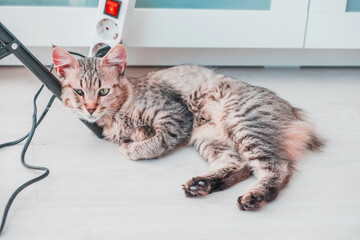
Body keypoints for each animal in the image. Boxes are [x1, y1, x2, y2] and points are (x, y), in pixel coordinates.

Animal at [52, 44, 324, 210]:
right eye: (78, 92)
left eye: (103, 91)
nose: (90, 108)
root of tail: (294, 112)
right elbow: (142, 134)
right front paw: (136, 135)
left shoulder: (176, 116)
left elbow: (154, 143)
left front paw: (132, 147)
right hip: (210, 138)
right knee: (239, 165)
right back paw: (201, 185)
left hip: (241, 125)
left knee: (276, 167)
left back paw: (254, 196)